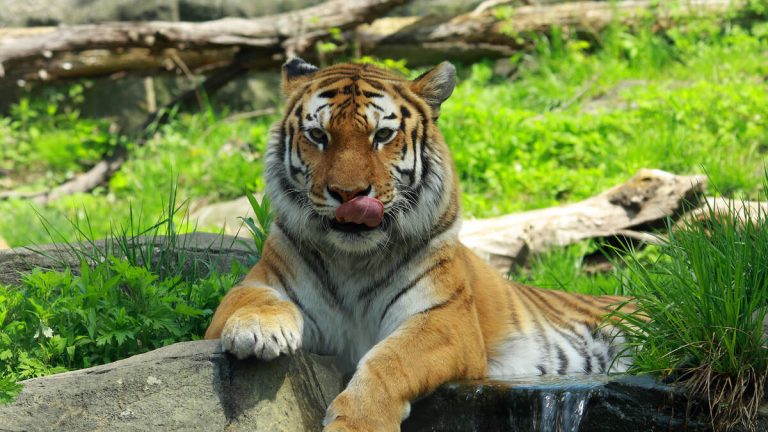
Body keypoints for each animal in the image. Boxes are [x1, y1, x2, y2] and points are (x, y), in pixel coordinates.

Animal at [205, 58, 632, 432]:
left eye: (382, 135)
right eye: (318, 136)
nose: (349, 194)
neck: (353, 260)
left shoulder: (445, 320)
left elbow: (388, 361)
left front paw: (358, 425)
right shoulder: (258, 283)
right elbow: (248, 298)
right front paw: (257, 330)